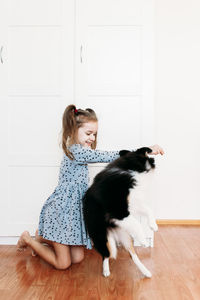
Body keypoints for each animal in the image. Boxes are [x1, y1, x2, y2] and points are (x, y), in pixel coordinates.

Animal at [83, 147, 158, 276]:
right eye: (147, 155)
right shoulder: (118, 211)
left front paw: (153, 225)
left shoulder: (132, 203)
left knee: (133, 256)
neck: (128, 167)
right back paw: (106, 271)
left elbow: (148, 209)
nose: (154, 160)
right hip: (103, 237)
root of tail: (114, 233)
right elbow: (137, 223)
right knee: (106, 255)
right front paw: (143, 240)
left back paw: (146, 271)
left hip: (126, 237)